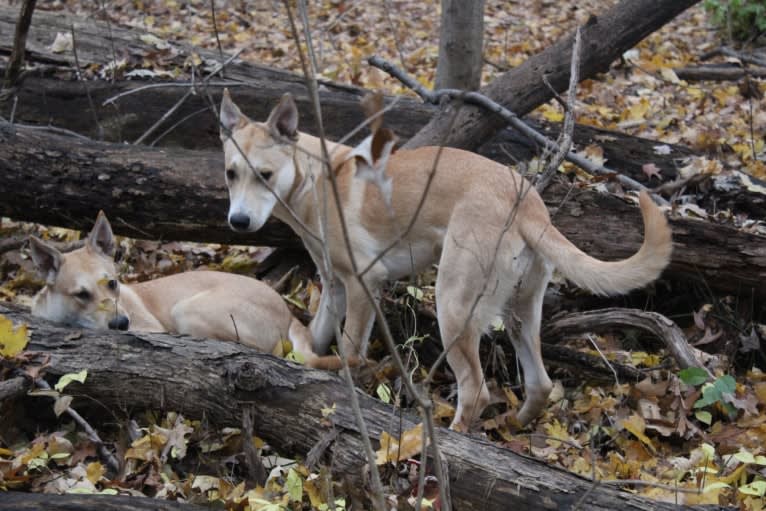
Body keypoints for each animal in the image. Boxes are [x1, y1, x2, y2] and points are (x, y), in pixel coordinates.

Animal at [218, 90, 672, 430]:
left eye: (265, 175)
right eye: (230, 173)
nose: (238, 222)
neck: (315, 179)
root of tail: (529, 205)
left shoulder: (364, 284)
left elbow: (350, 348)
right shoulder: (335, 288)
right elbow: (315, 338)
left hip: (452, 307)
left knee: (476, 391)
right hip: (519, 313)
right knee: (539, 384)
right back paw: (514, 427)